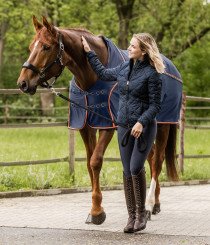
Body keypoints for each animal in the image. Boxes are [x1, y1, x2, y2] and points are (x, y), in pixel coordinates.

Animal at [17, 16, 181, 225]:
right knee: (150, 158)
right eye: (32, 46)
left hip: (163, 125)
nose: (23, 83)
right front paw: (95, 209)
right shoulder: (86, 126)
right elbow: (89, 163)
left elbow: (96, 161)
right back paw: (155, 204)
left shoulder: (107, 125)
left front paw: (96, 212)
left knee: (157, 161)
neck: (90, 77)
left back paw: (150, 204)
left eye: (46, 47)